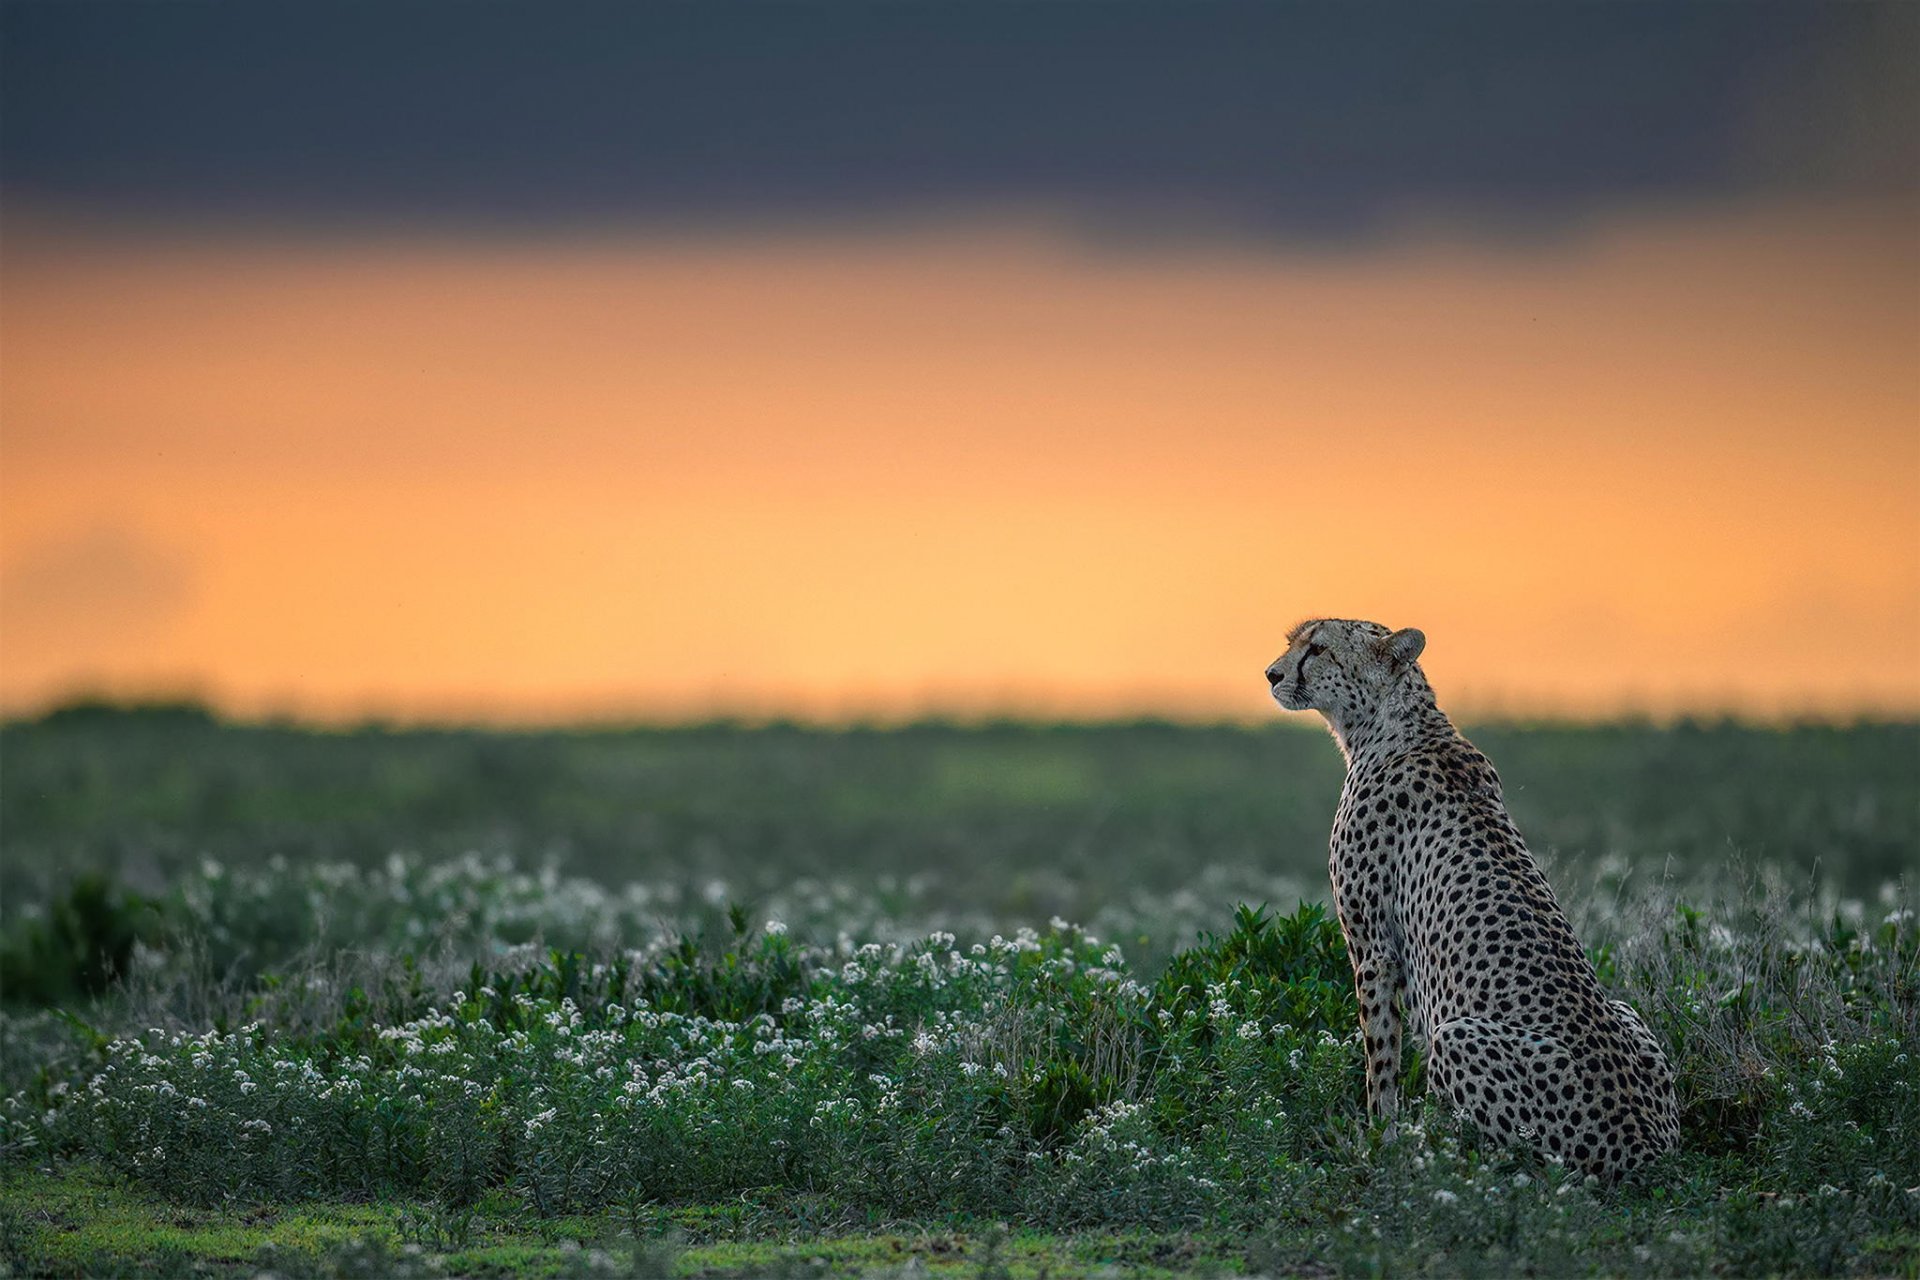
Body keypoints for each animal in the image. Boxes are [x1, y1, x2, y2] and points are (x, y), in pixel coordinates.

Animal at [1267, 621, 1674, 1182]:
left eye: (1319, 648)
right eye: (1293, 641)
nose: (1272, 674)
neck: (1395, 723)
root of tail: (1650, 1149)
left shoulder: (1372, 949)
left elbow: (1380, 1059)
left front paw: (1379, 1144)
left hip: (1457, 1036)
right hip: (1626, 1010)